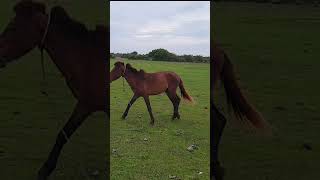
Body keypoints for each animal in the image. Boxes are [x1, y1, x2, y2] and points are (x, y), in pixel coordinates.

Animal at [0, 1, 109, 179]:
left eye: (12, 28)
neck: (89, 60)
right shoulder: (85, 104)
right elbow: (63, 135)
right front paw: (45, 169)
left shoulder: (89, 104)